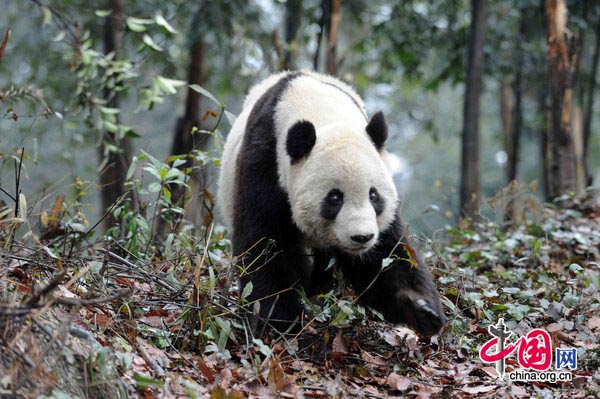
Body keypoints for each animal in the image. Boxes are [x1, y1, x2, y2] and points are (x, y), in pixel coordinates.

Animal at [219, 70, 446, 336]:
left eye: (373, 195)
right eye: (334, 198)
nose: (362, 237)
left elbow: (388, 254)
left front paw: (423, 310)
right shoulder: (266, 163)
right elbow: (264, 245)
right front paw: (279, 322)